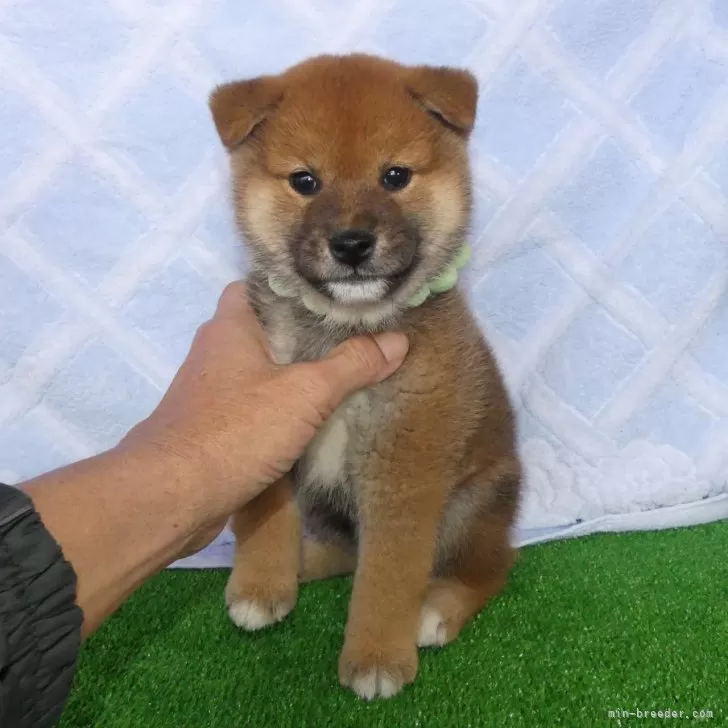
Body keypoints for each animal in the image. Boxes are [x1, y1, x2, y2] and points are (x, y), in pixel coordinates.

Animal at [208, 52, 520, 700]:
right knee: (350, 550)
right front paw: (261, 583)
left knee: (491, 566)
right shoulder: (270, 404)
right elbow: (265, 508)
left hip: (471, 506)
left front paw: (377, 654)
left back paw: (437, 609)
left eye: (395, 177)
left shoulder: (404, 466)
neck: (344, 332)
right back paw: (305, 561)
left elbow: (389, 573)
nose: (351, 243)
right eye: (305, 182)